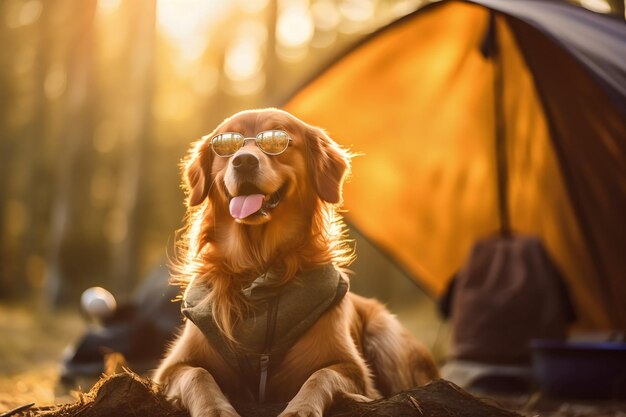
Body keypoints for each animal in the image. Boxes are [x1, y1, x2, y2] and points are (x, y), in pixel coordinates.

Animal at [154, 108, 436, 416]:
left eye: (277, 141)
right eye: (226, 145)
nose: (243, 161)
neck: (258, 266)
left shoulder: (352, 367)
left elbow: (320, 375)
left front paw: (301, 408)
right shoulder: (172, 367)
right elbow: (199, 374)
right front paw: (215, 410)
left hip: (384, 332)